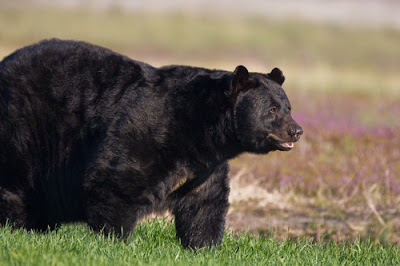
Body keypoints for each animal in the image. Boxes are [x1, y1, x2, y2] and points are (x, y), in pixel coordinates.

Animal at [0, 39, 302, 249]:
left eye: (288, 107)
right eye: (272, 110)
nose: (296, 130)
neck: (200, 128)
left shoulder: (206, 166)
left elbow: (205, 203)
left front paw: (205, 246)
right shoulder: (149, 128)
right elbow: (114, 180)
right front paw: (115, 242)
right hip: (24, 130)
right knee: (15, 187)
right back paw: (19, 227)